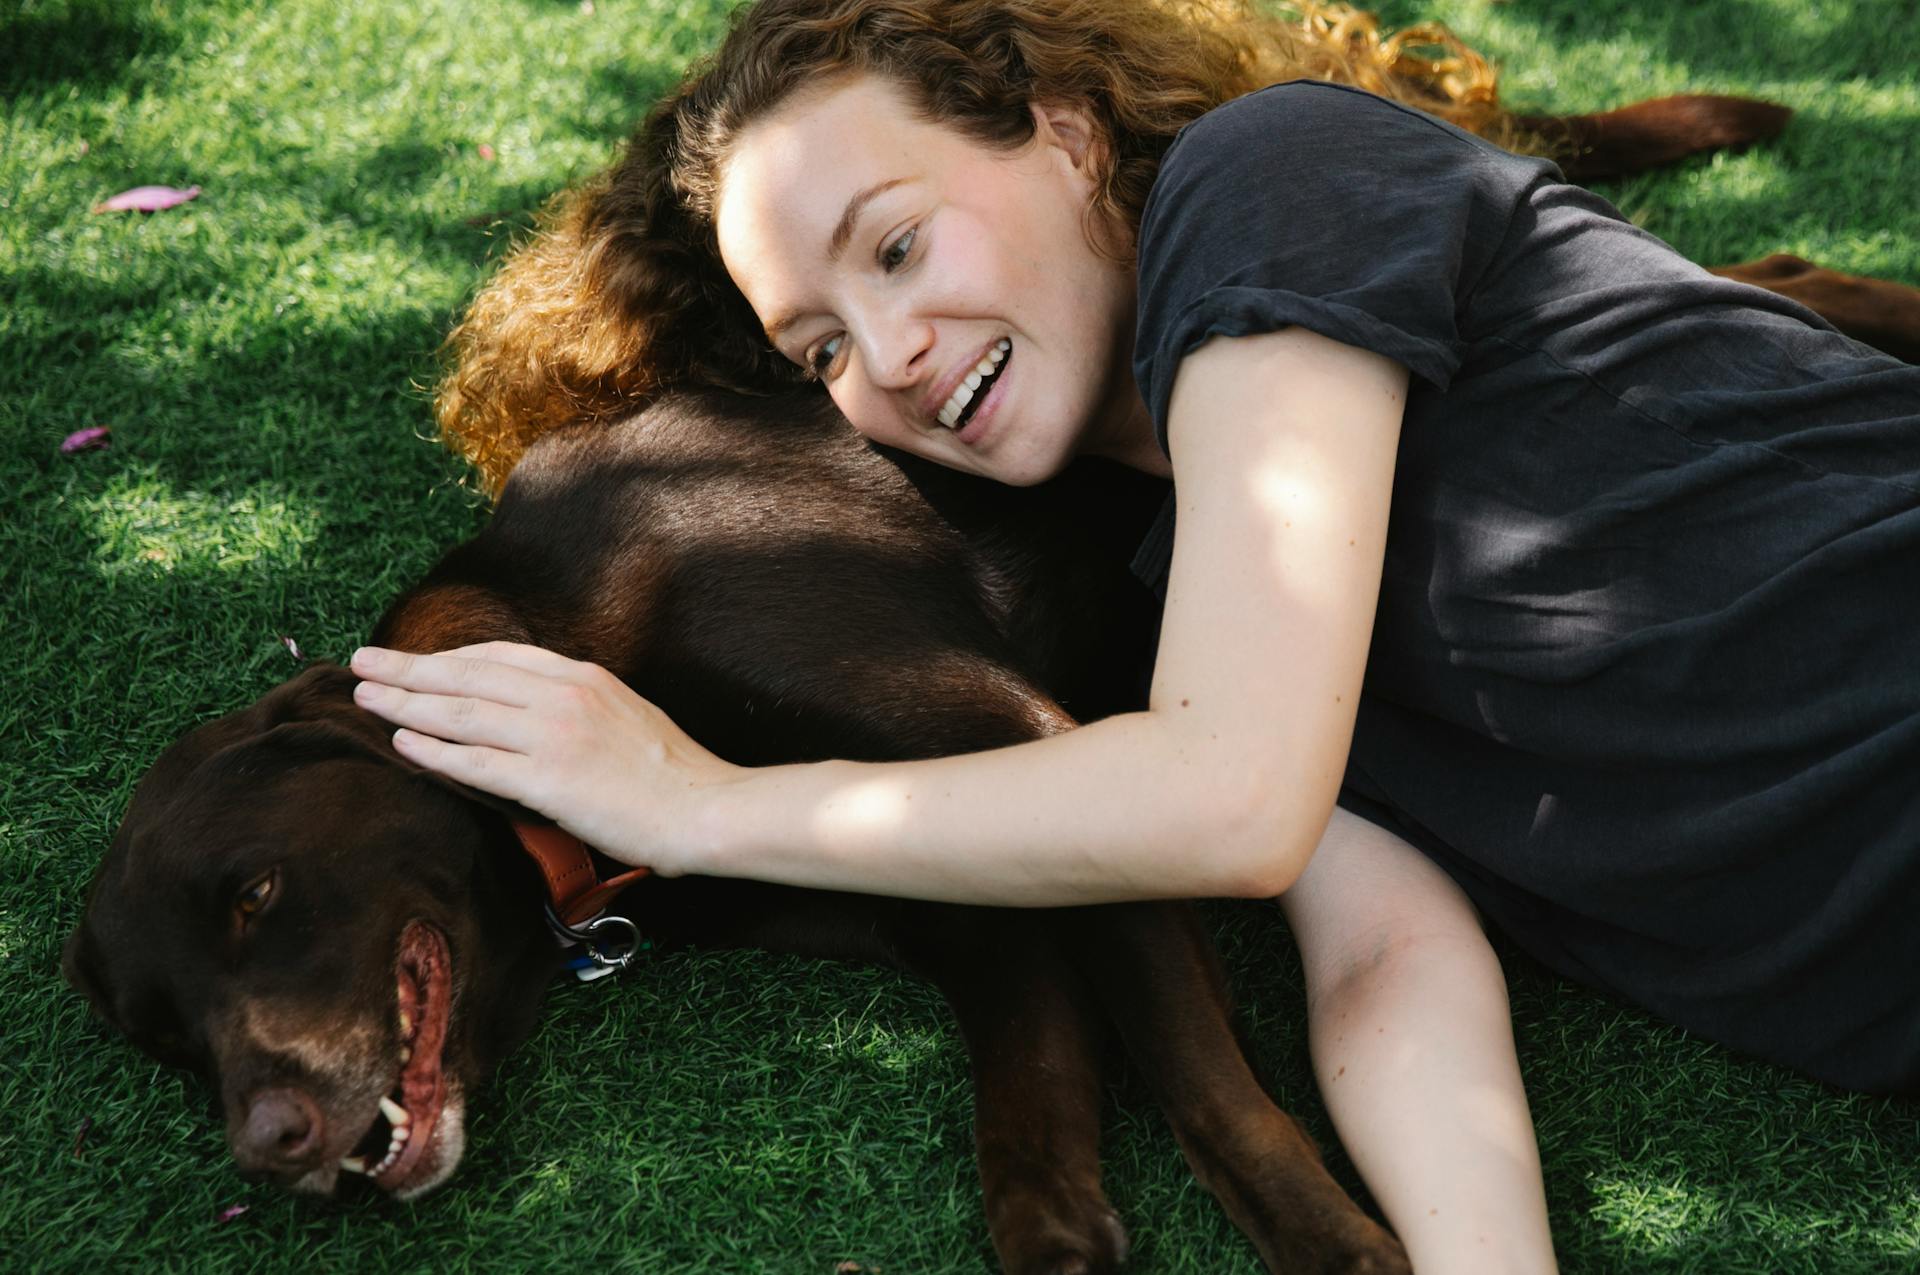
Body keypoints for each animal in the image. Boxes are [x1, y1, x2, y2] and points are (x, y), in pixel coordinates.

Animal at [63, 391, 1413, 1275]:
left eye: (259, 894)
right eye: (167, 1039)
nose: (269, 1147)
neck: (554, 625)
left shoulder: (1040, 745)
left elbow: (1205, 1087)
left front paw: (1335, 1248)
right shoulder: (960, 900)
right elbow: (1031, 1092)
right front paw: (1063, 1240)